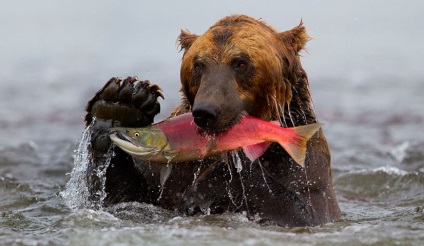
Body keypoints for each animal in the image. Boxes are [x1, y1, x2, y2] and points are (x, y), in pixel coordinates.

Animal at [83, 14, 342, 227]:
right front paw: (121, 104)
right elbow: (122, 198)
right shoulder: (167, 174)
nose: (206, 111)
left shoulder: (305, 167)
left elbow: (304, 211)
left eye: (241, 63)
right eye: (198, 65)